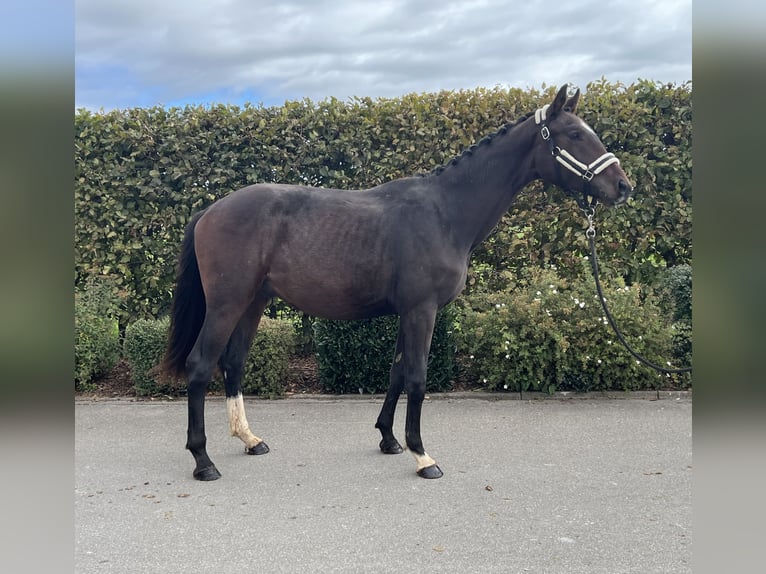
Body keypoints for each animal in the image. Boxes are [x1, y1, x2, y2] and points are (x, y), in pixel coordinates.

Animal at [159, 84, 633, 481]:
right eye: (574, 134)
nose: (623, 186)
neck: (445, 212)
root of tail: (211, 210)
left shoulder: (409, 312)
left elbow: (397, 372)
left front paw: (389, 439)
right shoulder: (423, 310)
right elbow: (418, 377)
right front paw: (423, 455)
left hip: (252, 302)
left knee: (233, 363)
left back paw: (250, 439)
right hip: (227, 303)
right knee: (201, 365)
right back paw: (203, 461)